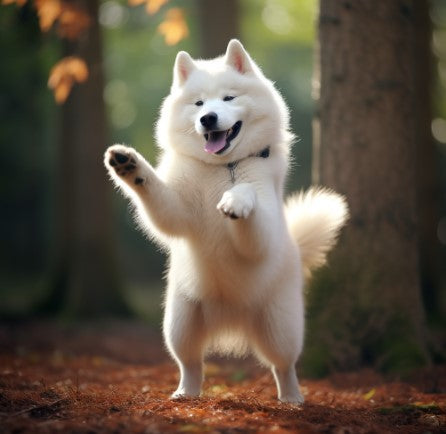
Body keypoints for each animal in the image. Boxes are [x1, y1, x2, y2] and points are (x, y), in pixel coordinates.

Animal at [104, 39, 348, 404]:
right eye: (199, 103)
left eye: (229, 98)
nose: (208, 118)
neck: (224, 168)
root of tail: (231, 315)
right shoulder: (177, 210)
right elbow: (157, 195)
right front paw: (128, 164)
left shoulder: (259, 234)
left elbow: (247, 196)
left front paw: (235, 200)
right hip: (180, 324)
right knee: (191, 364)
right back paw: (186, 393)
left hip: (281, 327)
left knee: (284, 367)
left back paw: (292, 398)